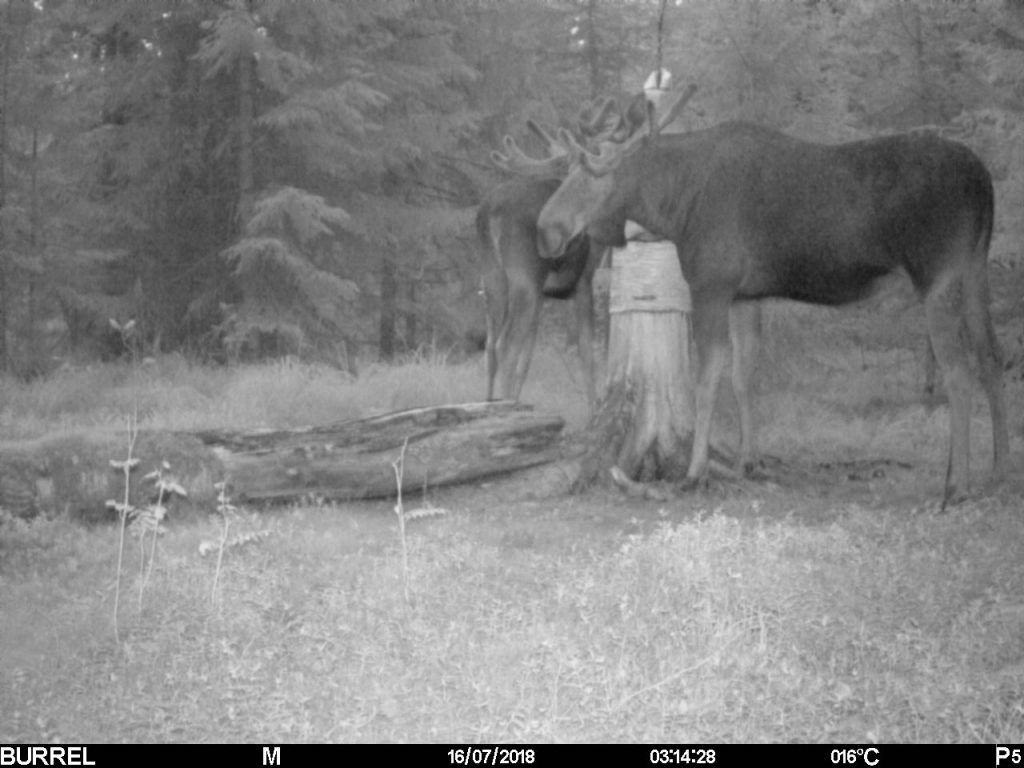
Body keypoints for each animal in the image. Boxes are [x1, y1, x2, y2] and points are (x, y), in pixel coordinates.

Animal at [507, 84, 1008, 503]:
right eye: (564, 173)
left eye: (597, 175)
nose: (546, 231)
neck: (675, 205)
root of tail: (984, 181)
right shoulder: (746, 295)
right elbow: (745, 375)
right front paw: (750, 460)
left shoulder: (711, 285)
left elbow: (707, 378)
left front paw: (695, 472)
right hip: (974, 269)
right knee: (991, 358)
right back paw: (998, 470)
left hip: (938, 276)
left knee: (959, 373)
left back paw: (957, 485)